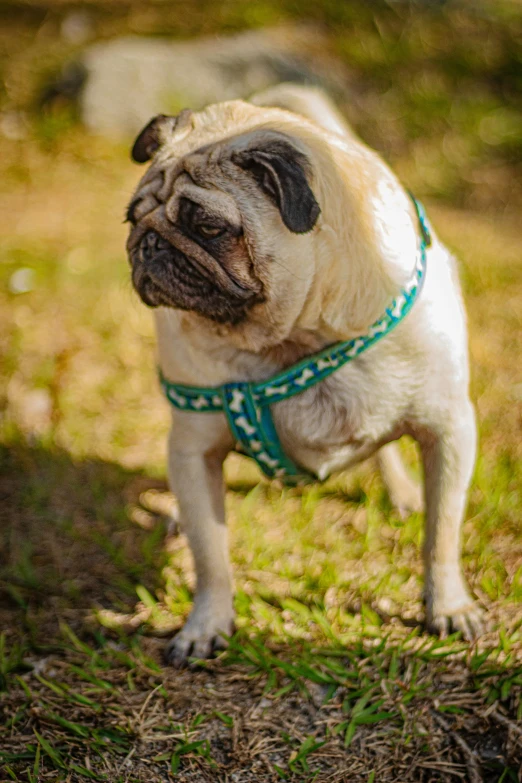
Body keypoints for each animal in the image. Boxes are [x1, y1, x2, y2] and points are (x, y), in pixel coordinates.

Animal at [124, 84, 482, 668]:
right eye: (133, 220)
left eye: (208, 227)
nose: (148, 243)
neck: (291, 340)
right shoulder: (193, 450)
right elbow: (210, 555)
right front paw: (206, 624)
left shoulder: (448, 429)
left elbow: (443, 534)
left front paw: (448, 606)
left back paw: (405, 493)